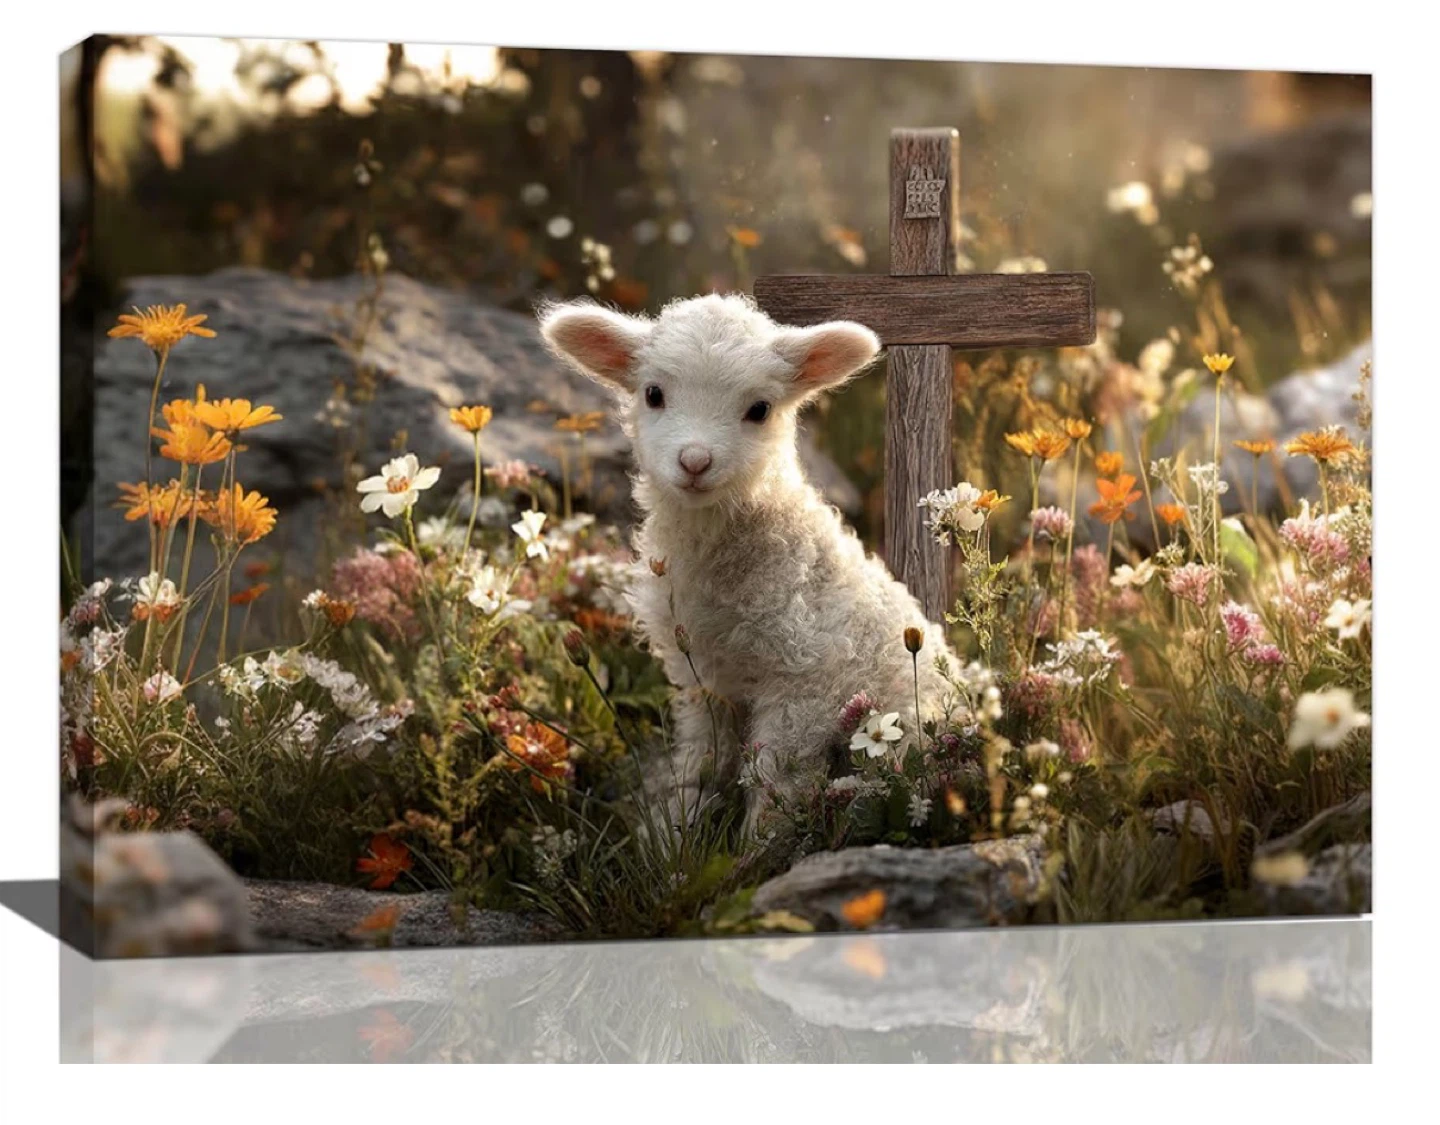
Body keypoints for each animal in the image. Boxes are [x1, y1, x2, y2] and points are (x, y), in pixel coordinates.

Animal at [539, 293, 960, 838]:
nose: (695, 461)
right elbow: (702, 759)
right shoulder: (701, 677)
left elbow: (775, 780)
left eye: (759, 409)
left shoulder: (804, 683)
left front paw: (756, 846)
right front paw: (676, 830)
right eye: (653, 394)